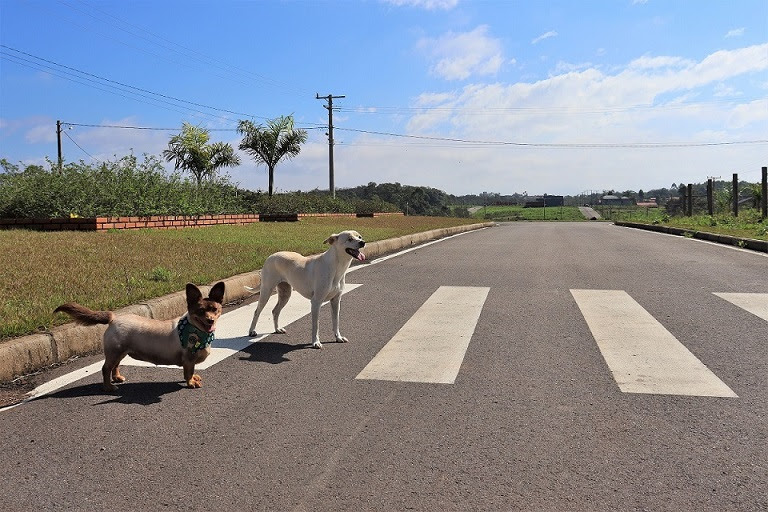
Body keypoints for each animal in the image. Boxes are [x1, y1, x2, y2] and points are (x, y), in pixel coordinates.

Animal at [54, 282, 225, 390]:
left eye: (215, 309)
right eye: (200, 311)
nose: (210, 320)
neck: (196, 329)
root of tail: (114, 318)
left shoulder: (191, 361)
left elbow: (192, 371)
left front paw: (194, 378)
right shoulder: (188, 359)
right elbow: (188, 372)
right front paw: (191, 383)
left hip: (120, 352)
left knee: (115, 366)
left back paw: (117, 378)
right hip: (114, 352)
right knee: (105, 368)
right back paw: (109, 387)